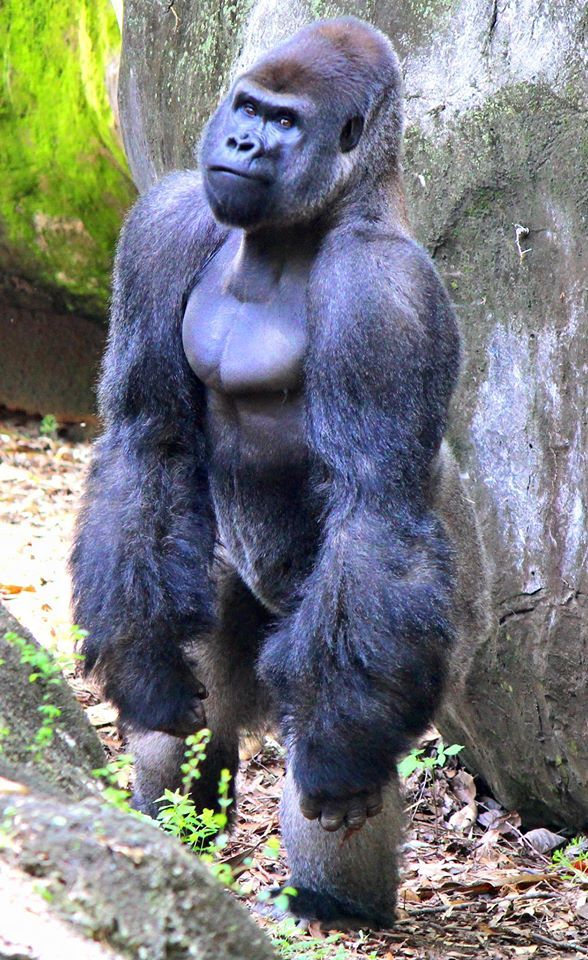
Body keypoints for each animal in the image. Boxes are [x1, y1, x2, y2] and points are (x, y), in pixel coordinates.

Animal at [71, 16, 490, 928]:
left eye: (286, 124)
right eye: (249, 107)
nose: (240, 142)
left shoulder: (383, 293)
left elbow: (374, 506)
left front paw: (335, 765)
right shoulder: (167, 220)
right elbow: (149, 439)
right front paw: (145, 671)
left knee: (344, 679)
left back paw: (335, 903)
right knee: (192, 688)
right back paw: (169, 834)